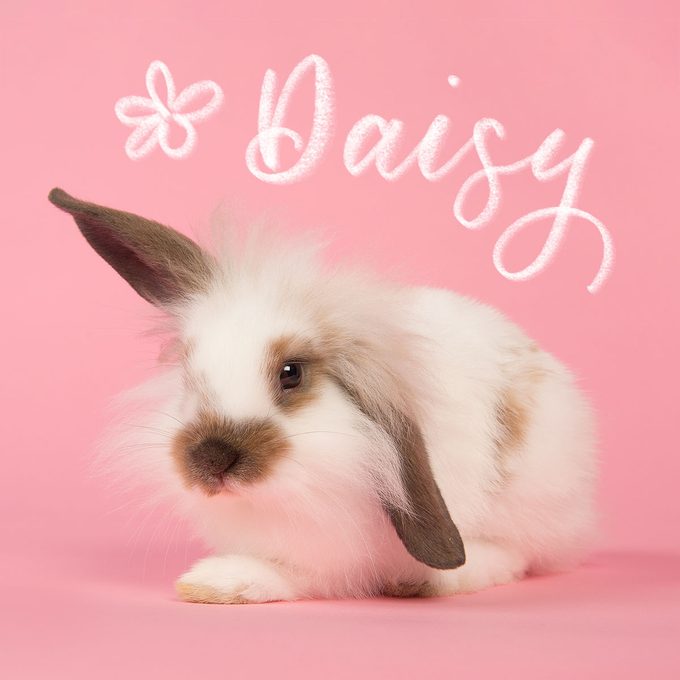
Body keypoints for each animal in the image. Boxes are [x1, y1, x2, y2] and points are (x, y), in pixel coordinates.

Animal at [48, 187, 597, 603]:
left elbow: (302, 575)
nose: (210, 459)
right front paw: (209, 581)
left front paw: (218, 581)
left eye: (291, 374)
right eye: (186, 370)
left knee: (518, 555)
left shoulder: (337, 555)